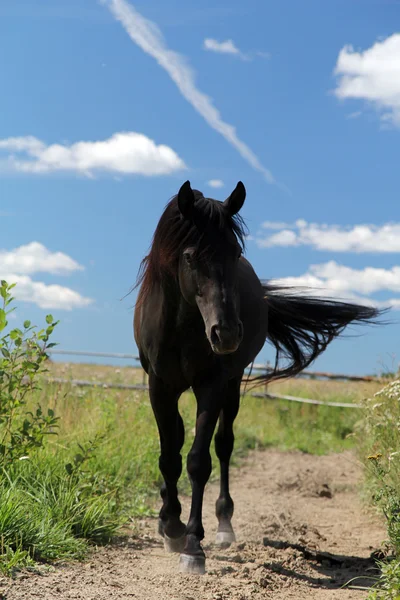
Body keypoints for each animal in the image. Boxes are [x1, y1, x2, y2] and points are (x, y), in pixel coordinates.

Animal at [134, 180, 382, 576]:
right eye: (189, 256)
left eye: (235, 252)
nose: (227, 334)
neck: (182, 326)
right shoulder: (159, 386)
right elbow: (169, 455)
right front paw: (171, 527)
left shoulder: (212, 385)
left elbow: (198, 461)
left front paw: (193, 545)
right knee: (178, 439)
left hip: (232, 386)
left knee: (223, 445)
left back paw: (223, 525)